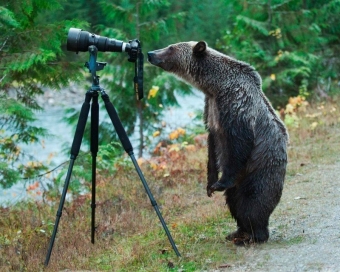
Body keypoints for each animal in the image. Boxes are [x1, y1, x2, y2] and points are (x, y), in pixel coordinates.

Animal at [147, 41, 288, 245]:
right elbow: (212, 146)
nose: (150, 53)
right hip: (241, 181)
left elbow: (239, 144)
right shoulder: (211, 109)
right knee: (234, 201)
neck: (215, 86)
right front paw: (210, 184)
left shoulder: (236, 106)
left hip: (260, 170)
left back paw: (253, 235)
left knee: (252, 202)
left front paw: (219, 183)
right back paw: (238, 232)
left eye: (171, 47)